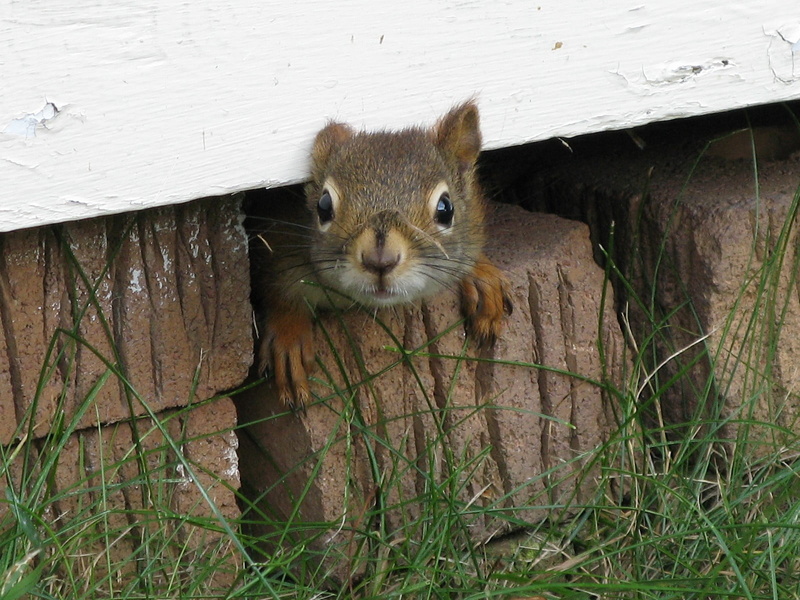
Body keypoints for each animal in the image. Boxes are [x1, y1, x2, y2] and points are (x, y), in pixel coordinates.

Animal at [250, 100, 513, 411]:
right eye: (323, 206)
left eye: (446, 209)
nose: (380, 261)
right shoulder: (279, 247)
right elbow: (278, 288)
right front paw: (288, 335)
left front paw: (481, 276)